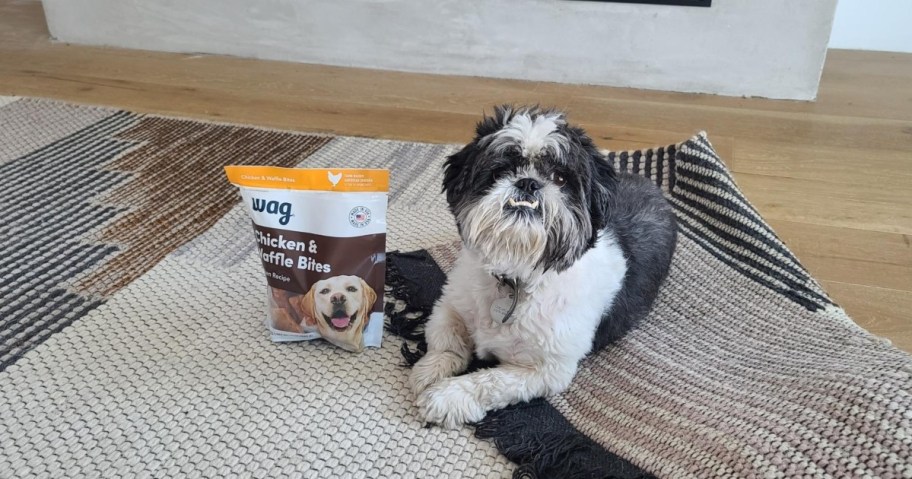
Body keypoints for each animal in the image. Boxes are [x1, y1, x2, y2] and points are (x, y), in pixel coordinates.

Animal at [406, 107, 676, 430]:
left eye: (560, 178)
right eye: (500, 172)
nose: (527, 182)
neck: (515, 277)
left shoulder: (545, 370)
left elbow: (490, 382)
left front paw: (447, 397)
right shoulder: (451, 306)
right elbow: (446, 340)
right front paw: (430, 371)